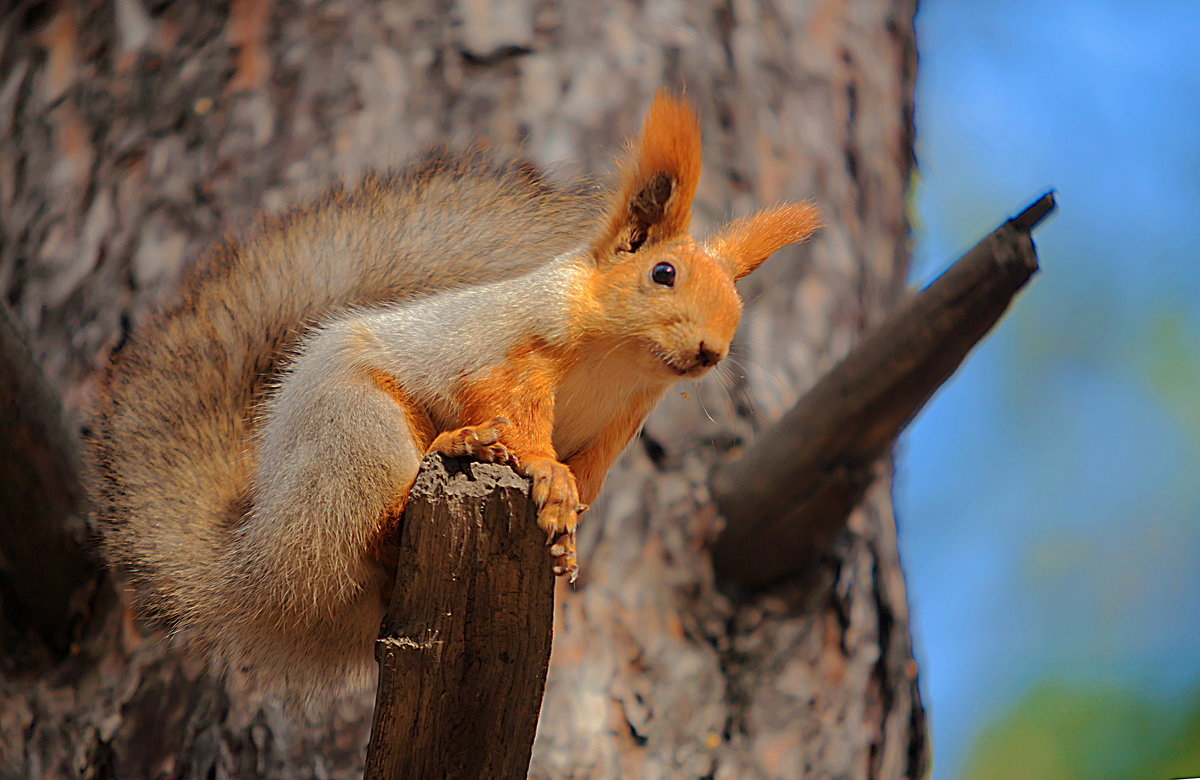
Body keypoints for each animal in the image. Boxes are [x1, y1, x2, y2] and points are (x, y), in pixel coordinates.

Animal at [93, 91, 825, 700]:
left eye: (737, 305)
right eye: (662, 272)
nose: (711, 352)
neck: (619, 363)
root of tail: (254, 552)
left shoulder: (624, 420)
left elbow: (589, 476)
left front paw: (567, 524)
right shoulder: (507, 352)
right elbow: (510, 411)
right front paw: (543, 473)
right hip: (354, 431)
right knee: (366, 527)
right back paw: (452, 451)